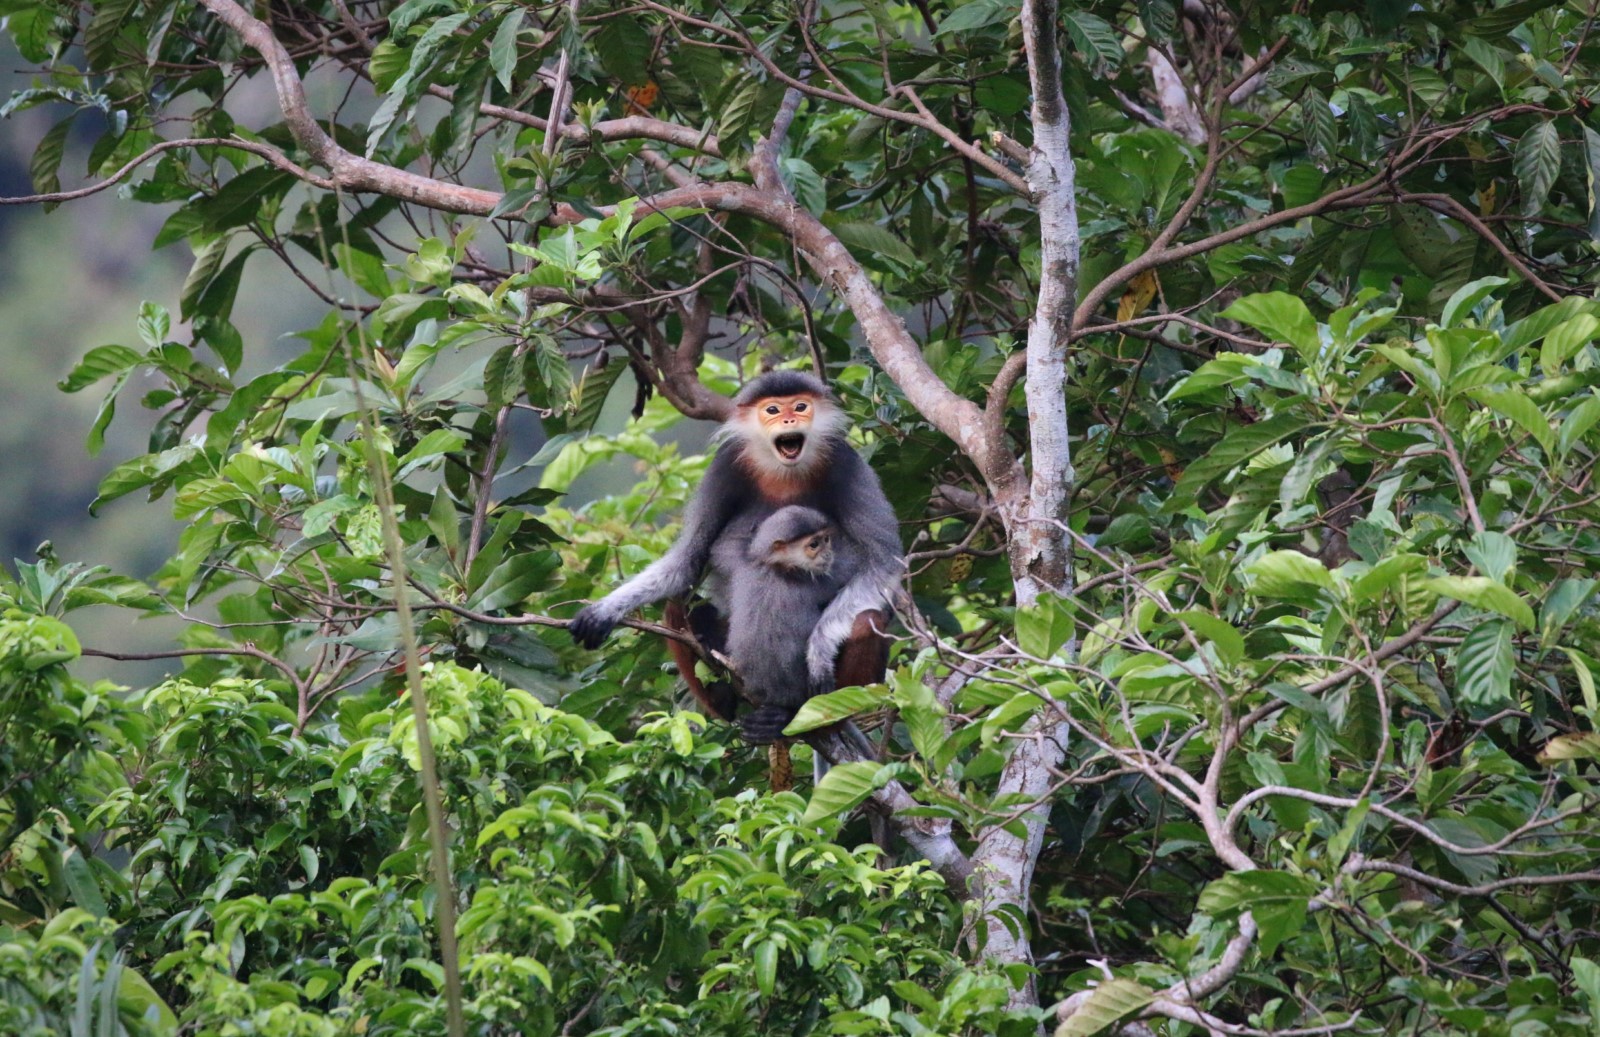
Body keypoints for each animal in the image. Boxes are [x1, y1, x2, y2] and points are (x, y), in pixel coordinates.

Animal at [569, 370, 902, 734]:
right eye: (772, 410)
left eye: (801, 406)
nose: (789, 419)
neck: (784, 473)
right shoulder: (726, 465)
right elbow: (688, 560)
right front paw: (604, 611)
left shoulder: (845, 462)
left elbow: (883, 563)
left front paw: (818, 649)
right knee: (681, 606)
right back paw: (727, 703)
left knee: (867, 618)